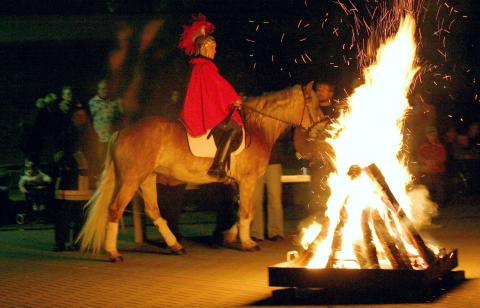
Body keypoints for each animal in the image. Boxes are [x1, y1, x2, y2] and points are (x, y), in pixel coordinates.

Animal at [79, 81, 322, 260]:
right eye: (315, 103)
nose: (323, 127)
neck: (257, 129)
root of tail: (122, 131)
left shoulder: (237, 183)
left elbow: (239, 211)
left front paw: (228, 236)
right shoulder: (248, 181)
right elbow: (247, 211)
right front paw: (247, 242)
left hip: (147, 178)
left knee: (153, 211)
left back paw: (176, 246)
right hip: (131, 179)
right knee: (115, 209)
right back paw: (113, 253)